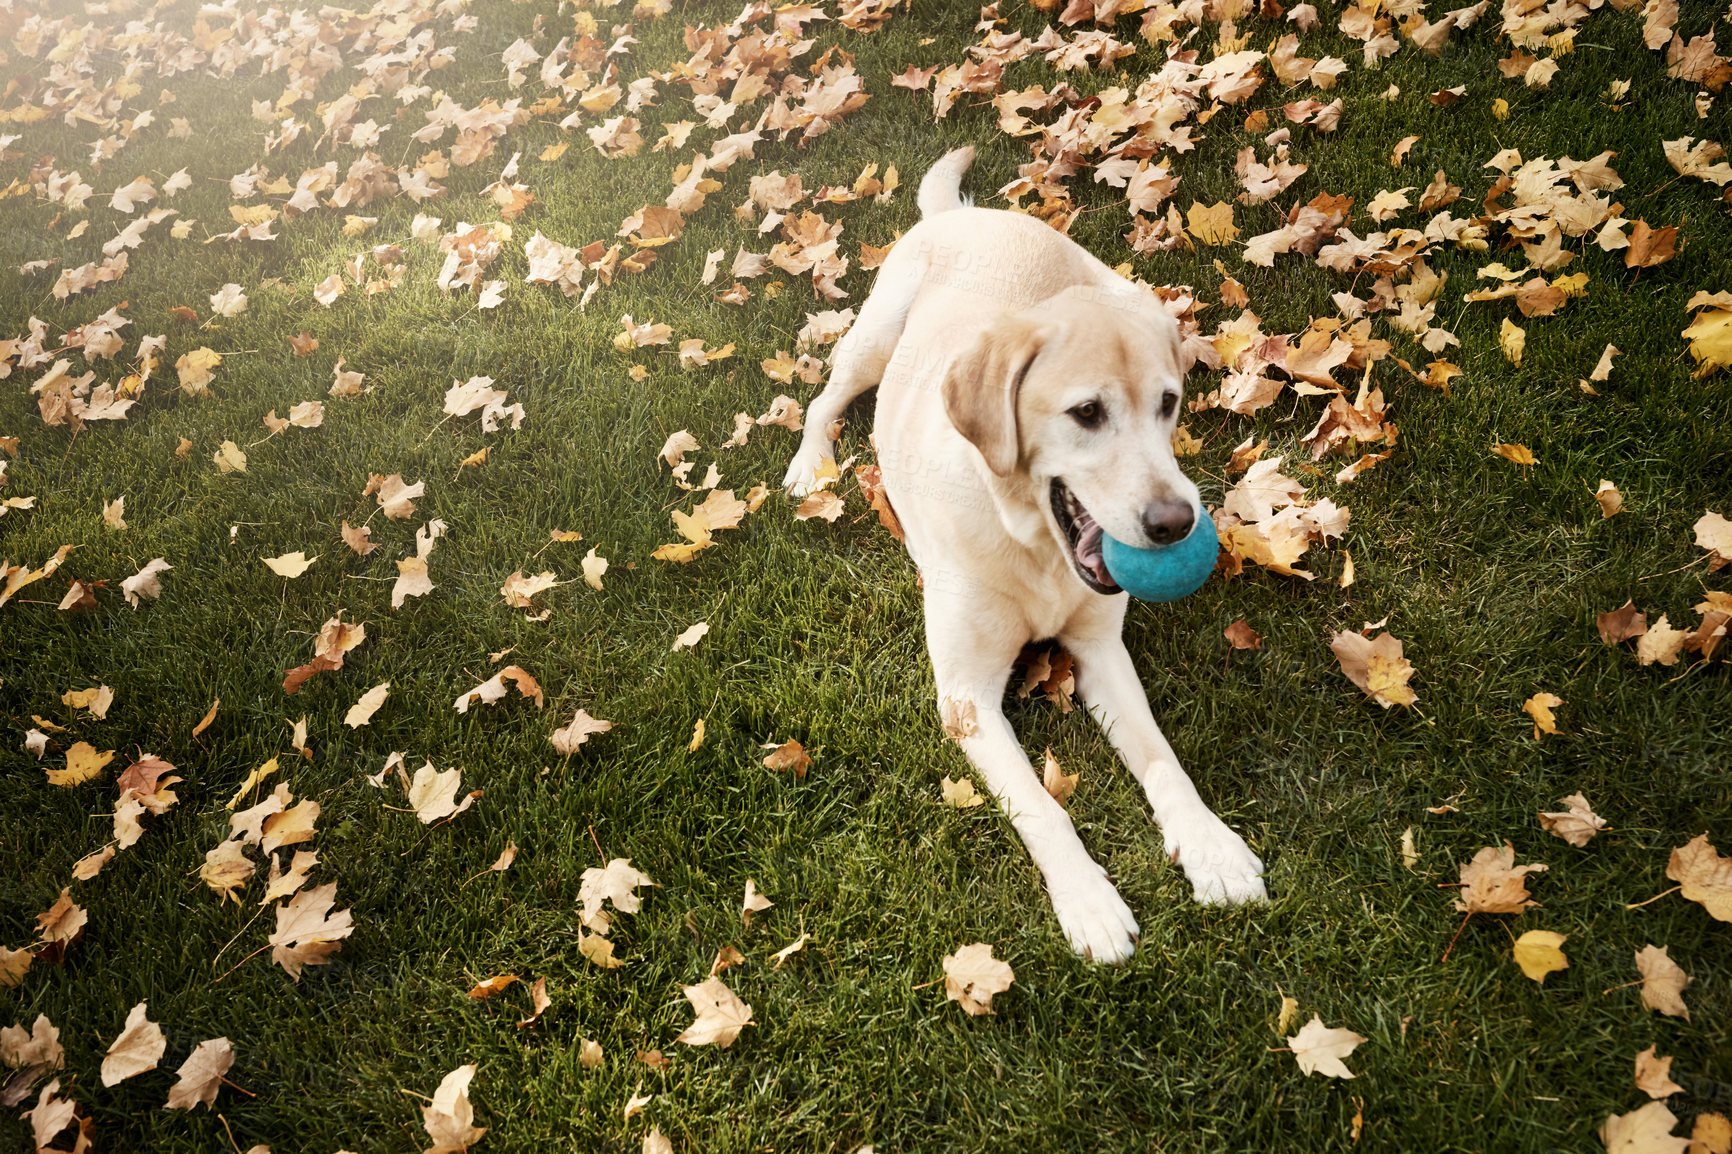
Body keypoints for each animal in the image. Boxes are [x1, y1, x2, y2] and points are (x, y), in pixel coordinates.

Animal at [782, 146, 1260, 949]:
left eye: (1167, 404)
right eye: (1087, 412)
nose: (1176, 524)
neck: (1035, 549)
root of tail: (964, 215)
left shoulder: (1101, 651)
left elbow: (1161, 758)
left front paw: (1211, 847)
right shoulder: (966, 697)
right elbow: (1042, 806)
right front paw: (1090, 902)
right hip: (872, 339)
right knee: (824, 398)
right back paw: (809, 463)